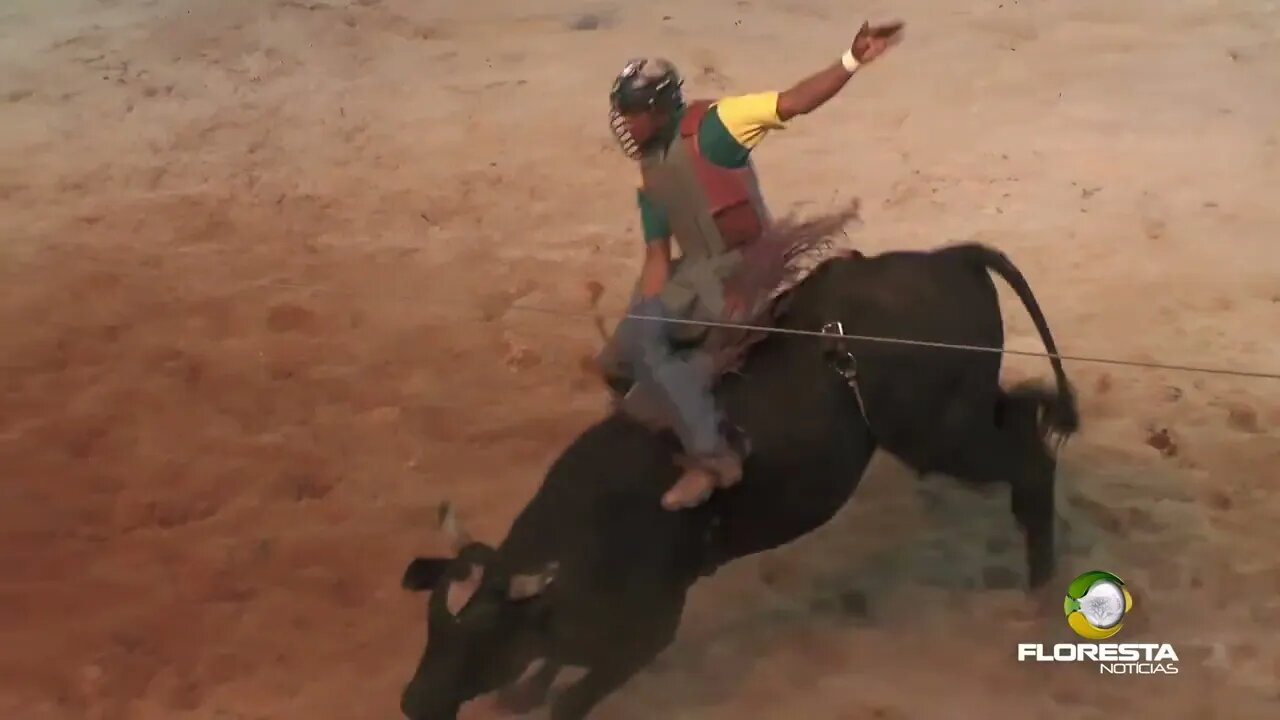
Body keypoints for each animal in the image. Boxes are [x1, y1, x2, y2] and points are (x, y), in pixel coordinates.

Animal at [399, 242, 1080, 717]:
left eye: (479, 634)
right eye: (433, 622)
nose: (412, 702)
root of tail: (950, 257)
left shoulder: (646, 631)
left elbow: (570, 697)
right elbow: (547, 670)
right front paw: (519, 693)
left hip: (942, 435)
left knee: (1031, 464)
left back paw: (1039, 590)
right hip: (967, 414)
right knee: (1029, 419)